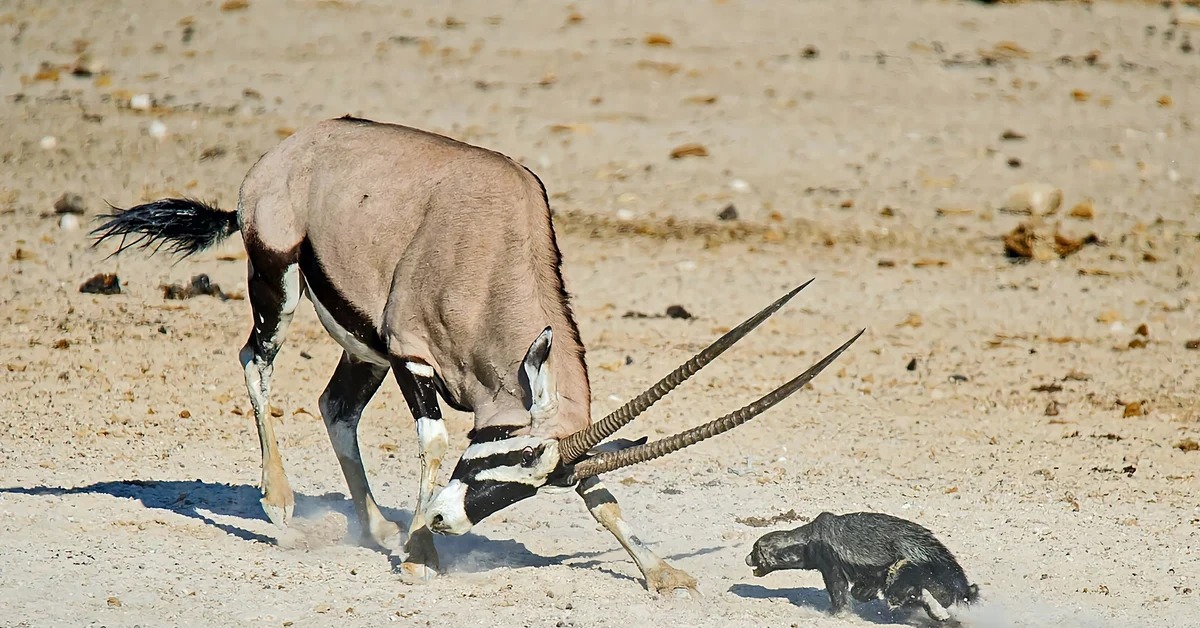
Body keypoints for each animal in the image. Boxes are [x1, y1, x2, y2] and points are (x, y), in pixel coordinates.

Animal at [93, 116, 864, 595]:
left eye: (528, 482)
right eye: (501, 457)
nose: (445, 522)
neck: (492, 256)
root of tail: (283, 155)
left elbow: (598, 490)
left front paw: (660, 572)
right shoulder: (415, 360)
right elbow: (434, 446)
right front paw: (419, 557)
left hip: (363, 346)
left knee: (335, 407)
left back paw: (378, 527)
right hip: (278, 282)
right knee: (256, 361)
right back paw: (285, 507)